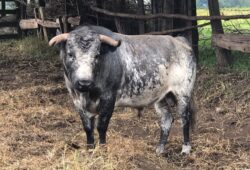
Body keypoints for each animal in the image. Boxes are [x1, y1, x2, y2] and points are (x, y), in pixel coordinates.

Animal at [48, 25, 196, 155]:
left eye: (97, 55)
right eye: (70, 54)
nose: (84, 82)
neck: (87, 94)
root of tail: (179, 40)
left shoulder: (108, 99)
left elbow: (101, 126)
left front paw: (103, 149)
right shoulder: (77, 101)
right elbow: (88, 128)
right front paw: (90, 149)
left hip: (183, 93)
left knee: (185, 118)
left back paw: (185, 148)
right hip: (161, 96)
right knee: (166, 119)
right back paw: (160, 148)